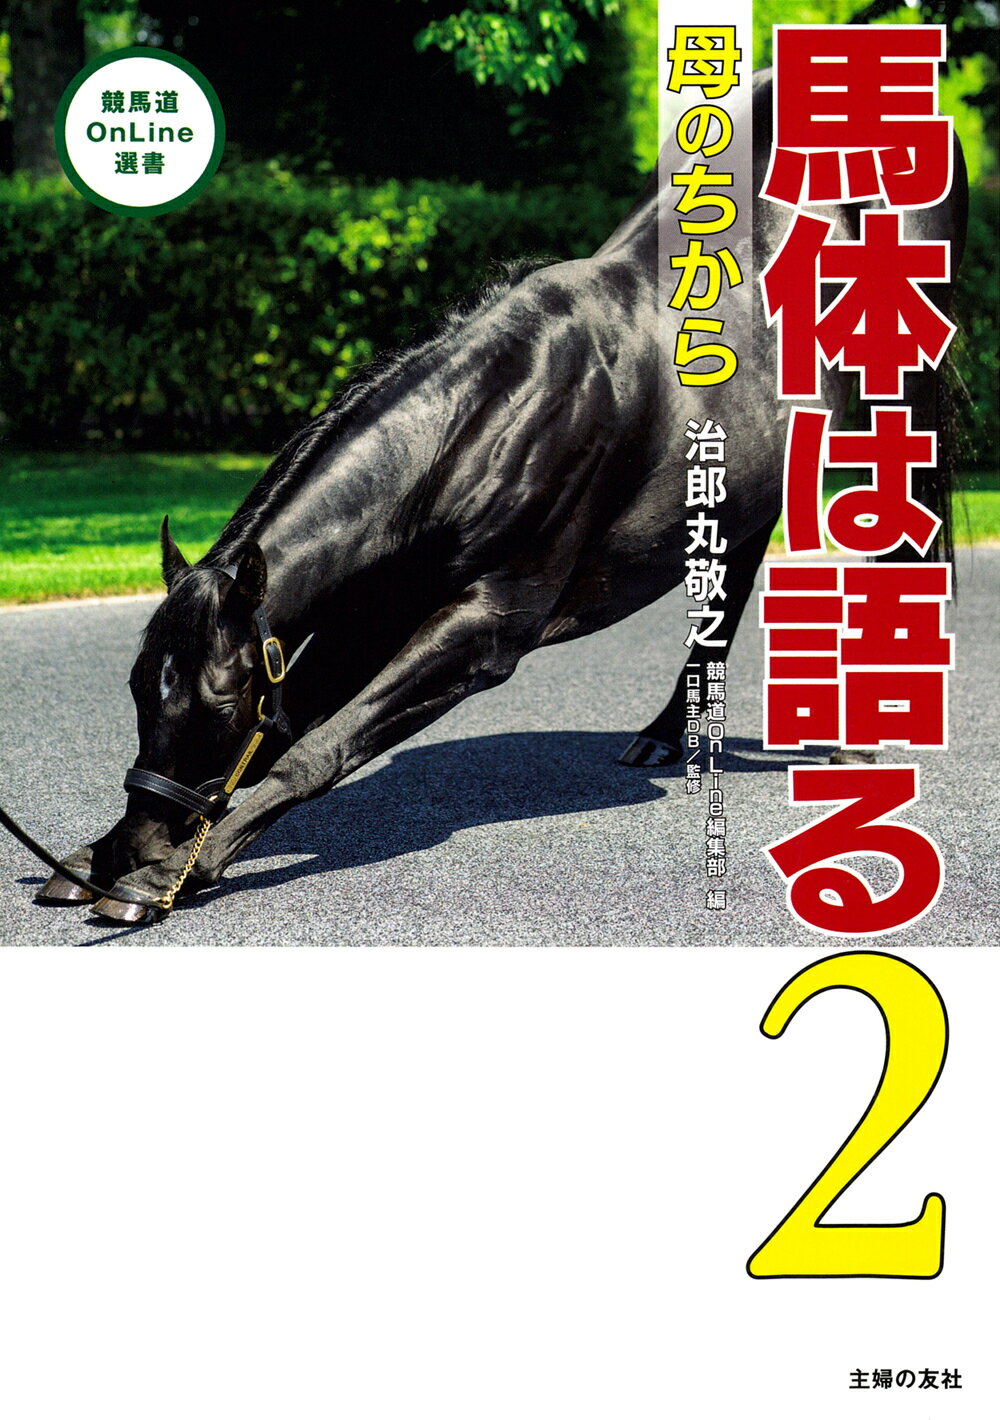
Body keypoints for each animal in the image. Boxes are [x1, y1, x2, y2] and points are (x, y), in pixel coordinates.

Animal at [36, 73, 966, 924]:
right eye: (137, 686)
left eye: (220, 701)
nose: (143, 839)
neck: (485, 422)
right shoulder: (367, 615)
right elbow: (296, 722)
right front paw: (99, 856)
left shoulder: (489, 625)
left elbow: (319, 747)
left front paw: (166, 871)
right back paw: (669, 731)